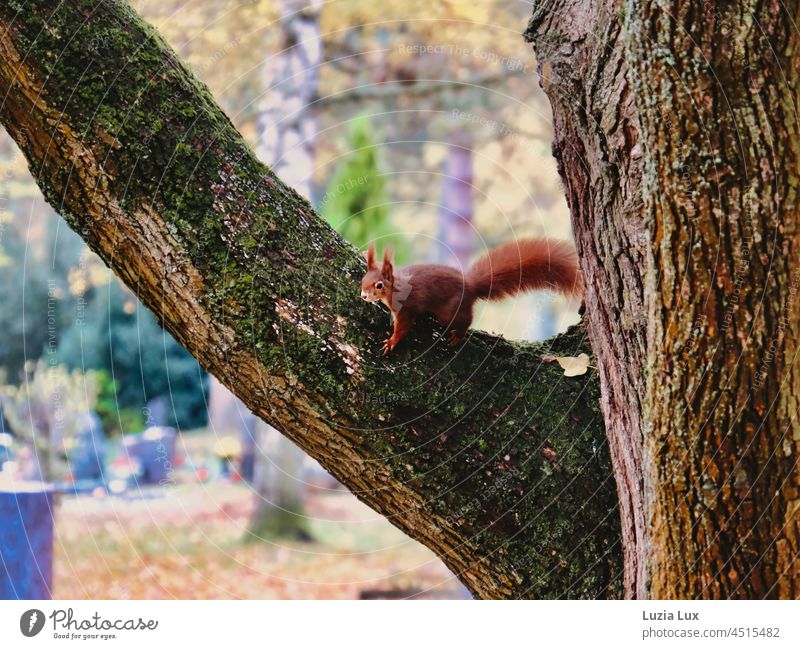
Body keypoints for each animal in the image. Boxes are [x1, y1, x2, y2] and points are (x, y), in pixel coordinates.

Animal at [360, 237, 580, 352]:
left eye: (379, 285)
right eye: (362, 280)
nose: (363, 296)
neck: (395, 289)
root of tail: (471, 286)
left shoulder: (406, 309)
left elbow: (403, 327)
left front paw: (391, 342)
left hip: (450, 310)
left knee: (467, 319)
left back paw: (458, 335)